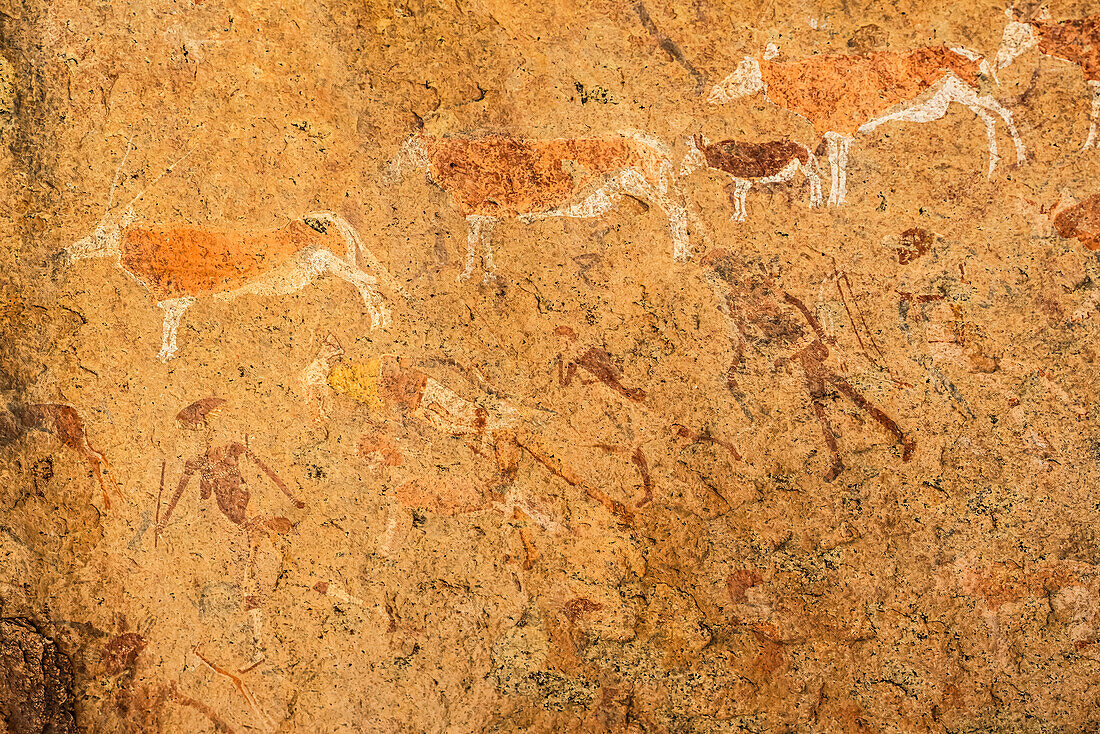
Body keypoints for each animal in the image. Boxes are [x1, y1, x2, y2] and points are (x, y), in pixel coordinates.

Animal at [64, 145, 402, 358]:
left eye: (102, 234)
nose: (68, 250)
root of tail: (329, 216)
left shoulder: (177, 300)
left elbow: (168, 327)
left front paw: (164, 355)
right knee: (368, 287)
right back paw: (380, 326)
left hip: (325, 260)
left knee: (369, 282)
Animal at [391, 130, 690, 283]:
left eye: (407, 148)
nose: (387, 173)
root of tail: (651, 142)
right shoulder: (486, 214)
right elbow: (484, 242)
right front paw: (488, 273)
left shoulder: (478, 211)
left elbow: (474, 243)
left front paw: (469, 274)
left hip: (644, 181)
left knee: (677, 211)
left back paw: (682, 256)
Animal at [677, 134, 827, 221]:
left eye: (690, 157)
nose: (681, 173)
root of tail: (804, 146)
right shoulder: (739, 181)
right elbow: (737, 196)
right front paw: (736, 216)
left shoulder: (747, 181)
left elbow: (741, 196)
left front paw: (741, 217)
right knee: (814, 179)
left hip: (804, 167)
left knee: (815, 179)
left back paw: (815, 203)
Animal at [708, 44, 1025, 205]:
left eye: (743, 71)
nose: (712, 94)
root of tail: (966, 50)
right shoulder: (835, 131)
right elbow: (835, 163)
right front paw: (833, 201)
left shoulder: (842, 129)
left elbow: (838, 164)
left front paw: (836, 202)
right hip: (959, 95)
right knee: (989, 118)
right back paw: (993, 168)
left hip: (968, 89)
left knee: (1004, 112)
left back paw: (1020, 160)